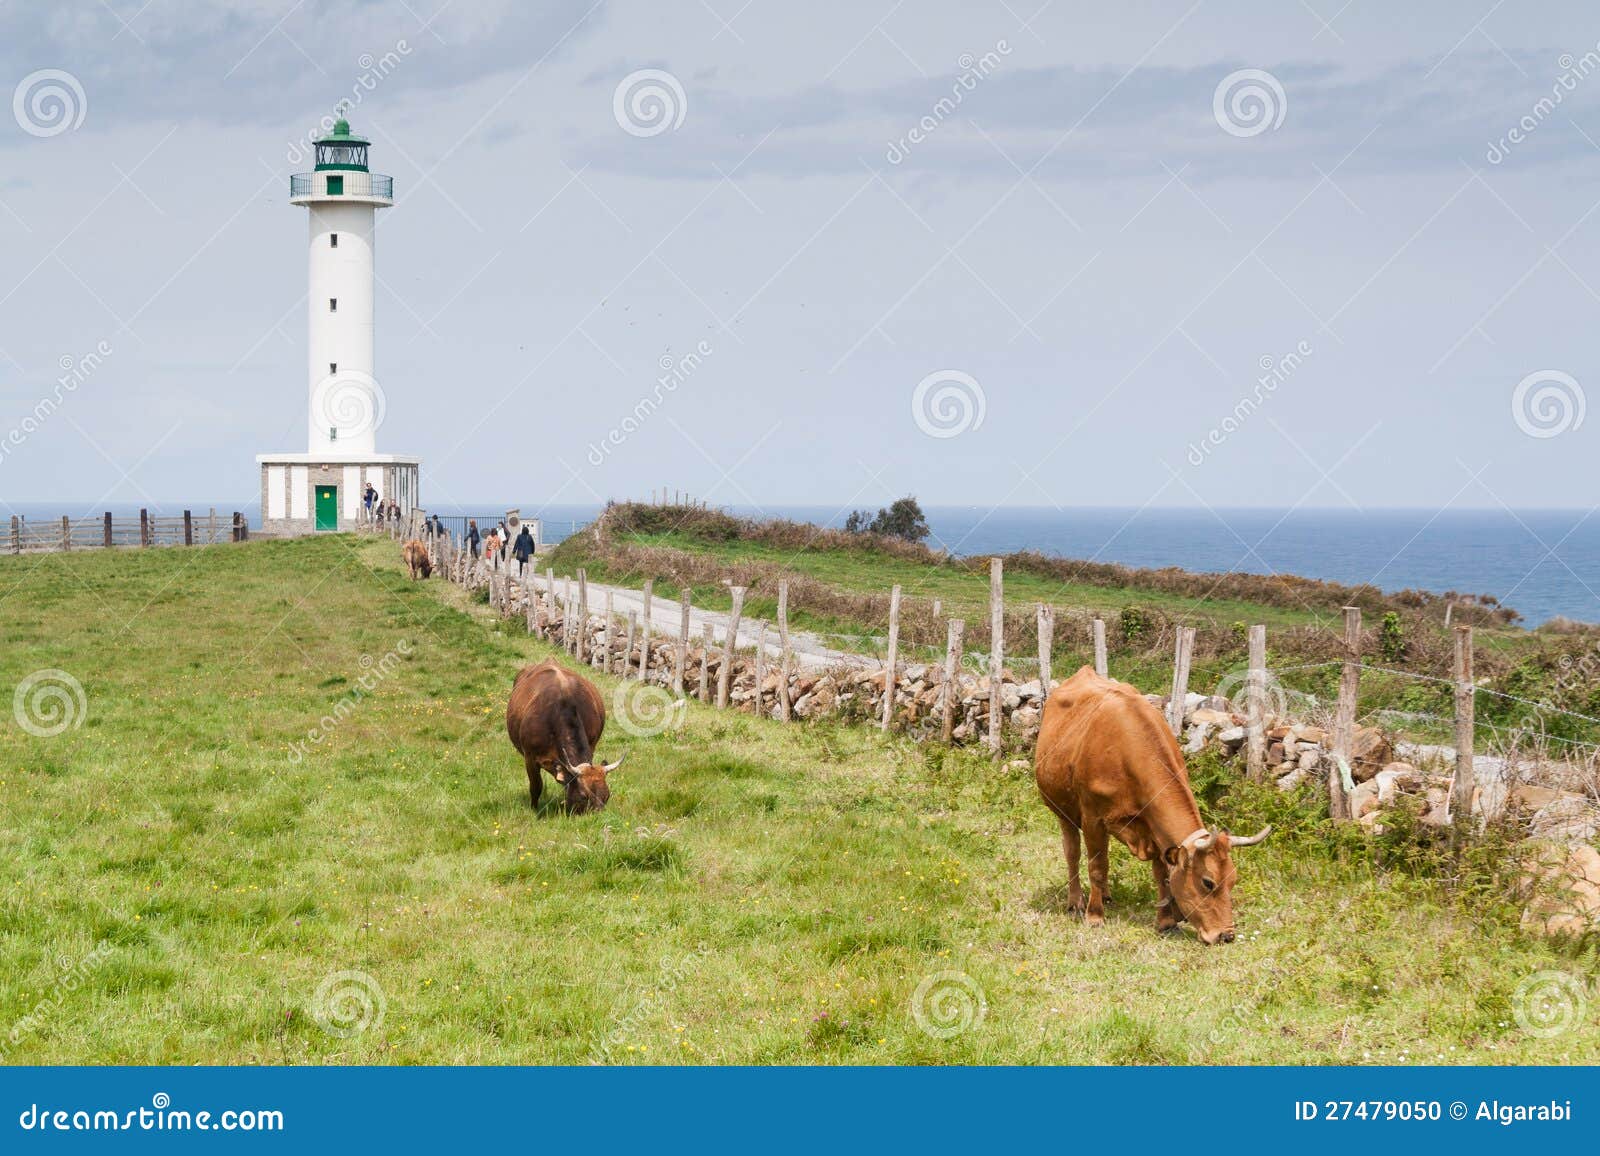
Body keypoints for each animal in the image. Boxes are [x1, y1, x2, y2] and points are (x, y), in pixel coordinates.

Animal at [1036, 662, 1273, 941]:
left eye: (1233, 880)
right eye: (1208, 882)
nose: (1225, 936)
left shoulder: (1154, 825)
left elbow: (1160, 874)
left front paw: (1166, 922)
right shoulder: (1092, 817)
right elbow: (1096, 866)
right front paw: (1094, 916)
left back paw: (1105, 895)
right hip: (1062, 810)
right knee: (1072, 852)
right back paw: (1076, 901)